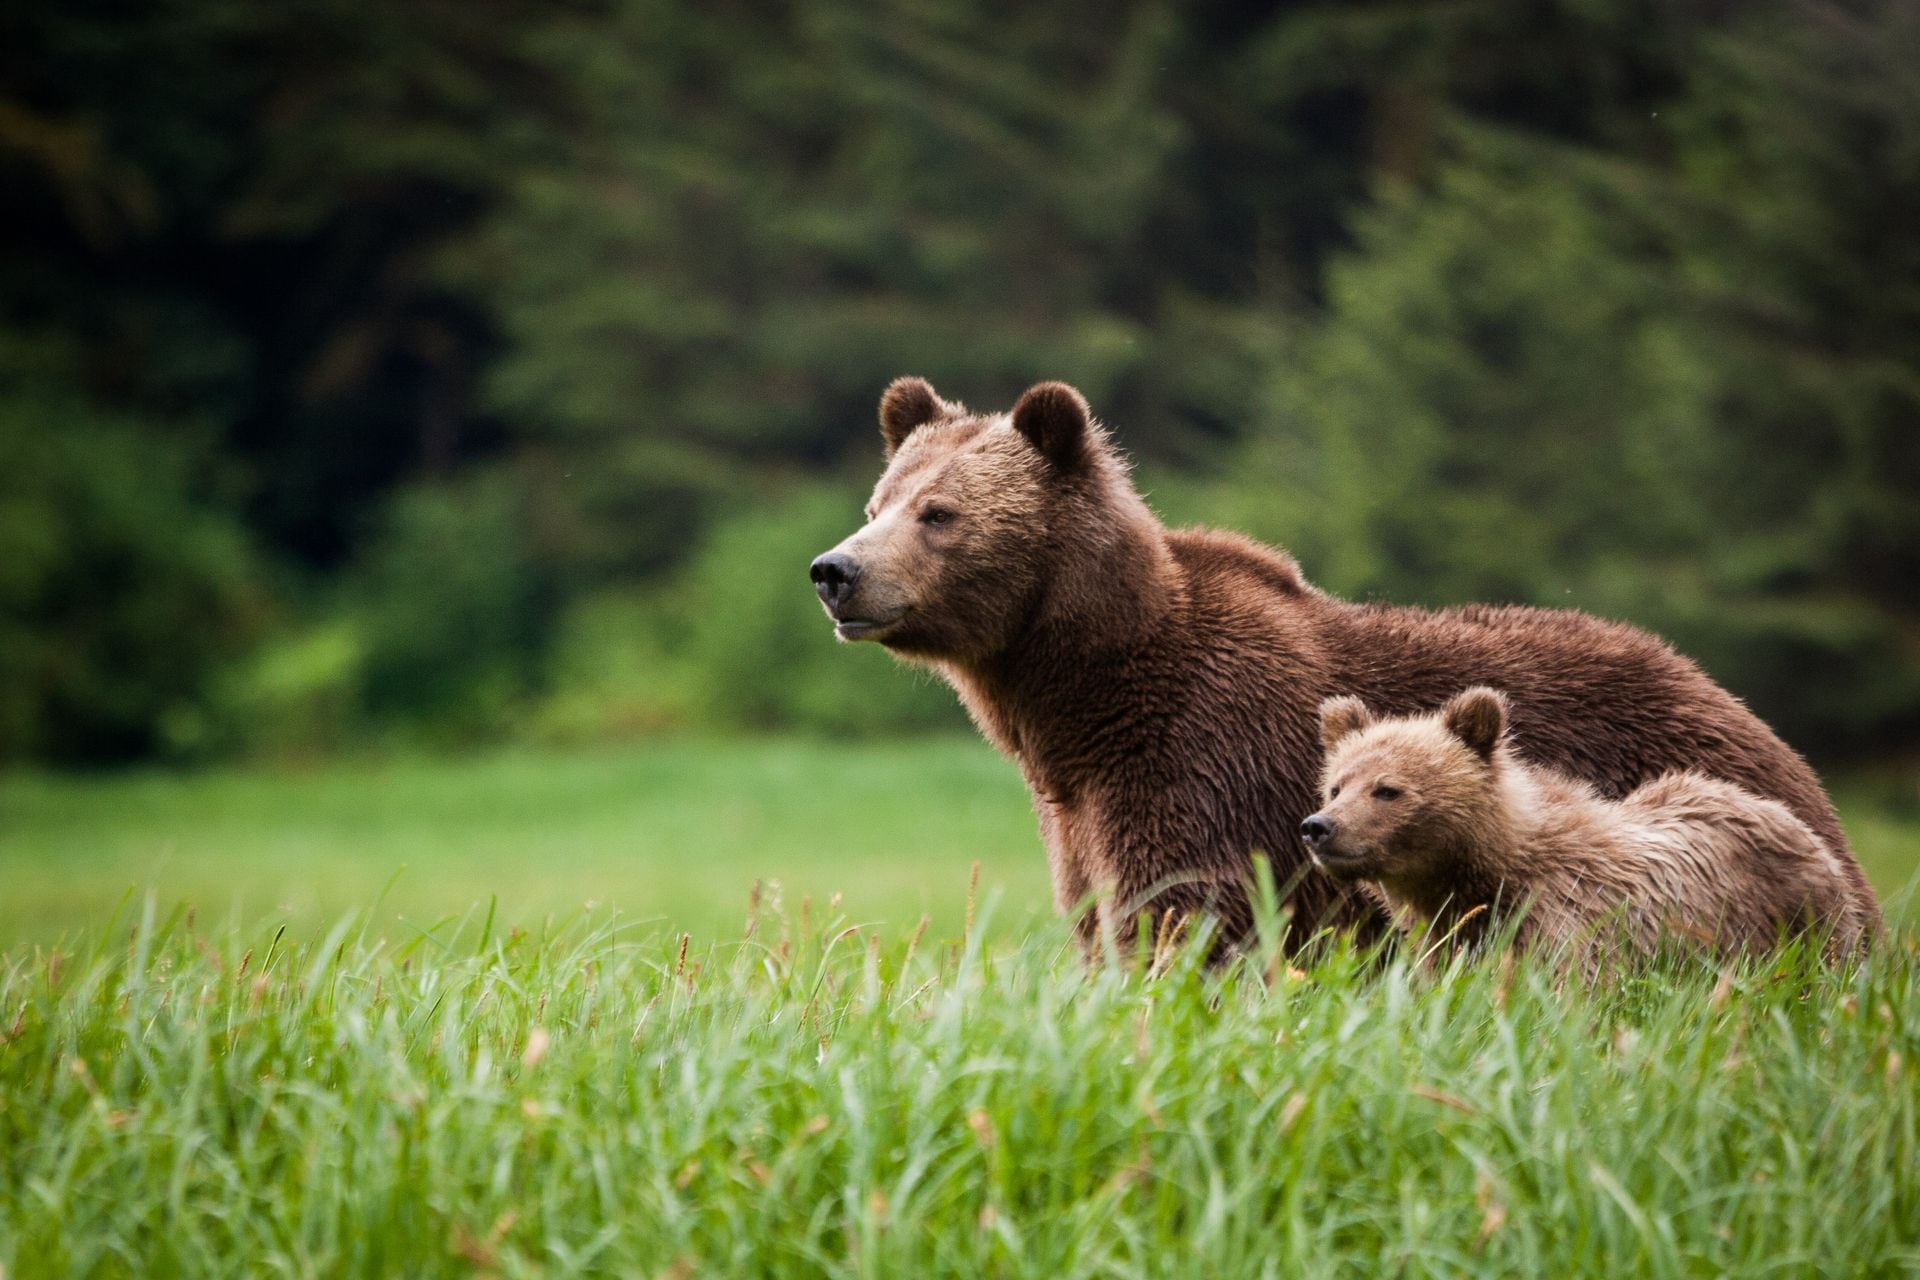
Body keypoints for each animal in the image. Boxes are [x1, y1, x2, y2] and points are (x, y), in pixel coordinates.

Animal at [1305, 690, 1873, 959]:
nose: (1319, 827)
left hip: (1803, 919)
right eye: (1336, 785)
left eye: (1387, 789)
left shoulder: (1571, 920)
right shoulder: (1447, 937)